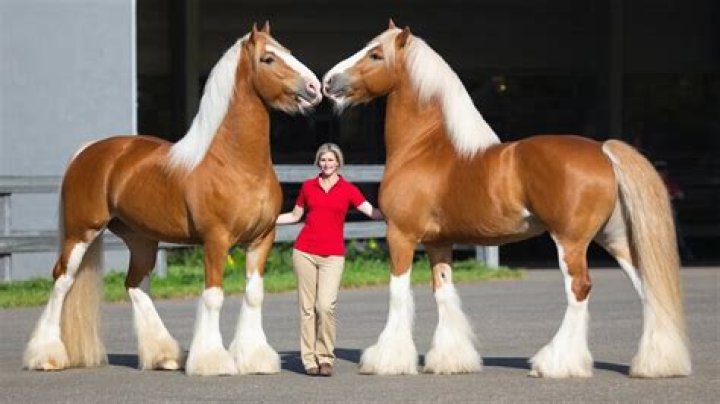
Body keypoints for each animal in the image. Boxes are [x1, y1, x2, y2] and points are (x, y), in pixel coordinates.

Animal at [23, 23, 322, 376]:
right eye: (268, 59)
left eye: (288, 51)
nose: (315, 87)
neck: (236, 163)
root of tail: (88, 150)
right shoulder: (216, 241)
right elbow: (213, 296)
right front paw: (212, 361)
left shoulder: (262, 239)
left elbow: (253, 294)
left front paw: (255, 358)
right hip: (81, 233)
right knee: (62, 281)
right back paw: (45, 356)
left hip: (141, 240)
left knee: (134, 284)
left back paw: (164, 355)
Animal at [322, 21, 691, 378]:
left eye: (375, 56)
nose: (328, 81)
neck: (425, 149)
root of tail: (603, 150)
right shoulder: (439, 243)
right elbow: (444, 293)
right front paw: (451, 360)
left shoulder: (401, 236)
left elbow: (398, 293)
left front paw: (387, 360)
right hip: (614, 239)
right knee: (647, 289)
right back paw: (656, 364)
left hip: (570, 241)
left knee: (579, 289)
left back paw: (556, 364)